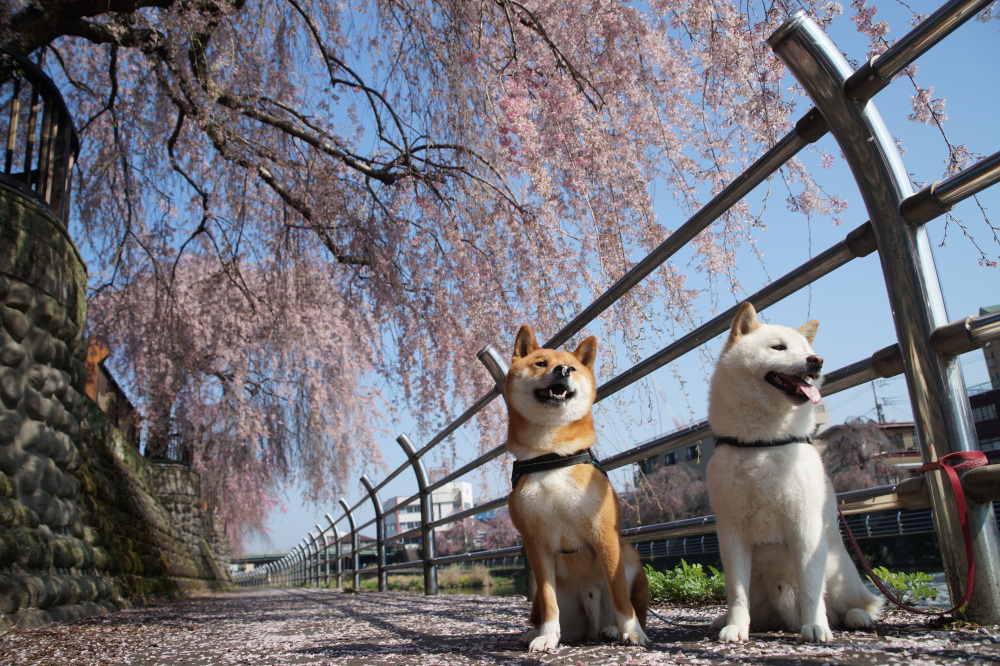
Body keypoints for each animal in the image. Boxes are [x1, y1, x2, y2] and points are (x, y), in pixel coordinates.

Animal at [504, 325, 649, 653]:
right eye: (540, 363)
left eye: (572, 367)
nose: (562, 370)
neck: (551, 456)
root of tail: (590, 627)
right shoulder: (536, 543)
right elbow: (548, 599)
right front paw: (547, 635)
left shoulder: (604, 534)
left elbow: (620, 594)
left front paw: (631, 631)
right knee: (545, 609)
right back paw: (539, 631)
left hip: (631, 557)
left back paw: (613, 628)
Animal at [706, 302, 883, 643]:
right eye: (779, 347)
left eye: (808, 351)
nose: (817, 361)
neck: (763, 442)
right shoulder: (731, 531)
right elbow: (736, 592)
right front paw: (736, 627)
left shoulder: (804, 524)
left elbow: (811, 587)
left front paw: (815, 625)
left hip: (838, 573)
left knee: (857, 604)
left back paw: (856, 617)